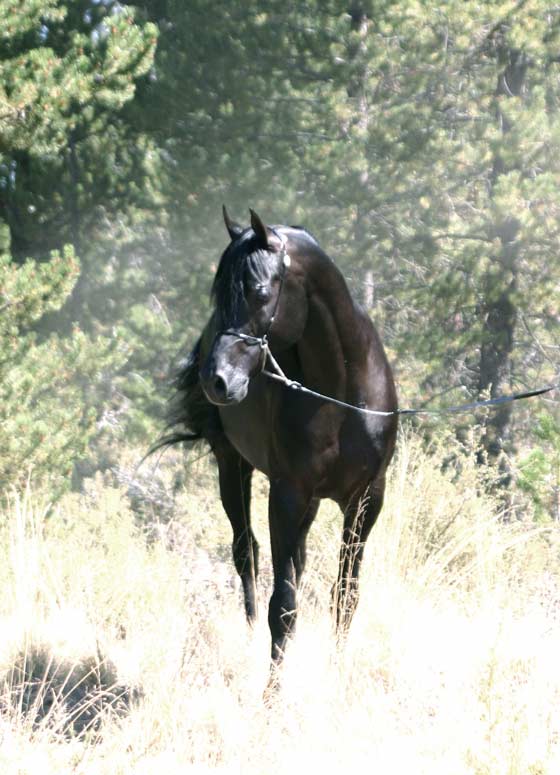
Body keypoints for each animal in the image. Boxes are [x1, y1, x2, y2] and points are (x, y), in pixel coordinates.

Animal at [162, 211, 398, 668]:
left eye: (259, 292)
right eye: (219, 294)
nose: (216, 381)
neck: (341, 393)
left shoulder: (366, 499)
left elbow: (345, 597)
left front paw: (337, 671)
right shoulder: (287, 494)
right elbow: (283, 607)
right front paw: (273, 686)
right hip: (233, 467)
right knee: (246, 553)